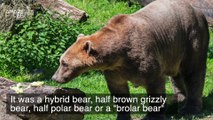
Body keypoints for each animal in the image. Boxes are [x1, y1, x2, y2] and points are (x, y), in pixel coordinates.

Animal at [52, 0, 210, 119]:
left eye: (64, 62)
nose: (54, 77)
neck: (120, 55)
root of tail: (197, 11)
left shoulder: (145, 58)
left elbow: (155, 83)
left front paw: (152, 115)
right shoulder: (114, 70)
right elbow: (118, 90)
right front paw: (122, 116)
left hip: (191, 37)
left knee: (193, 71)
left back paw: (190, 108)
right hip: (174, 50)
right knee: (176, 75)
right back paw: (178, 99)